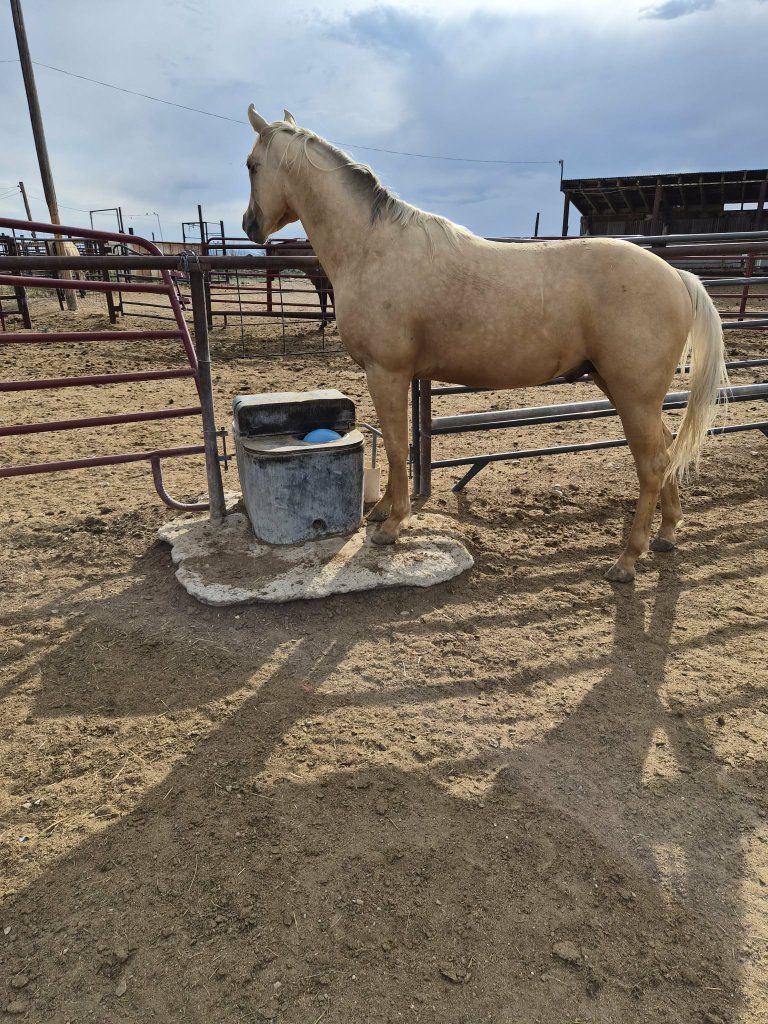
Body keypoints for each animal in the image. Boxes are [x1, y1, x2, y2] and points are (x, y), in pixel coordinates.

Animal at [242, 106, 729, 583]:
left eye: (251, 165)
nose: (249, 225)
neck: (372, 248)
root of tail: (677, 276)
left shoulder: (387, 372)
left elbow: (398, 446)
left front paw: (392, 524)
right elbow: (400, 447)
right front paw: (381, 512)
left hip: (633, 394)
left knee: (651, 464)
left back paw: (627, 559)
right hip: (622, 388)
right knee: (666, 450)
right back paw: (666, 533)